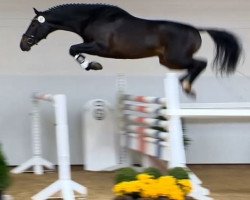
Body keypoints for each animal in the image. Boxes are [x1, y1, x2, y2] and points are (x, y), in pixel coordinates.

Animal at [20, 3, 242, 96]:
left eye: (34, 24)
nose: (23, 44)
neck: (92, 18)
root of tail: (196, 29)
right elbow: (73, 49)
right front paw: (92, 65)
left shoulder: (99, 47)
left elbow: (72, 49)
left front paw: (92, 65)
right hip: (167, 61)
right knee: (194, 66)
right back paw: (184, 84)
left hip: (175, 58)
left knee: (200, 63)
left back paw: (186, 87)